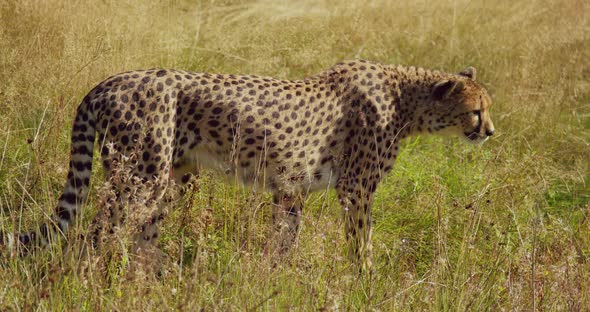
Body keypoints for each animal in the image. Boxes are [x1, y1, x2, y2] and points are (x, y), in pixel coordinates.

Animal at [2, 59, 498, 268]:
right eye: (476, 111)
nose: (490, 131)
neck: (406, 98)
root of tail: (107, 81)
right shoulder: (355, 190)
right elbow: (362, 243)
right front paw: (366, 280)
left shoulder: (291, 189)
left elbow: (284, 241)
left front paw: (274, 278)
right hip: (141, 177)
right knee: (94, 237)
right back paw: (90, 283)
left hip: (172, 178)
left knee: (140, 238)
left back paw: (156, 281)